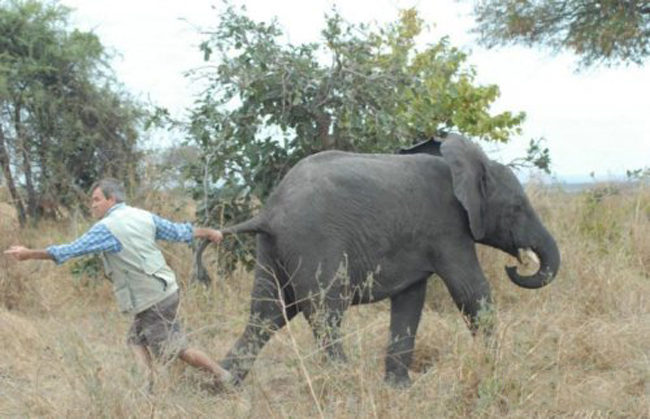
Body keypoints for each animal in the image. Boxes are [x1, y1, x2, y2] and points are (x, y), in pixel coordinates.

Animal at [197, 133, 556, 388]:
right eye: (517, 209)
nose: (517, 264)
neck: (470, 164)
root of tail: (268, 212)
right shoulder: (448, 230)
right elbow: (471, 290)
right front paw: (497, 365)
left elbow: (410, 301)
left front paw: (399, 388)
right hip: (314, 242)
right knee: (324, 311)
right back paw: (345, 383)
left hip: (273, 249)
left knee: (268, 313)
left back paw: (223, 384)